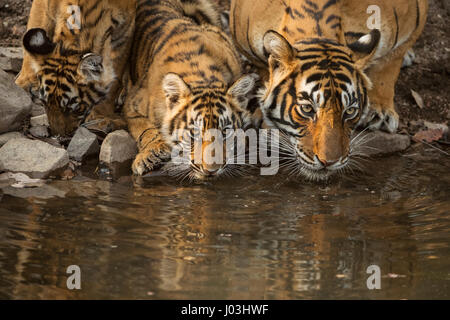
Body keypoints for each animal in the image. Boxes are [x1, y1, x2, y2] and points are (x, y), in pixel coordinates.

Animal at [15, 0, 136, 136]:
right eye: (45, 103)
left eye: (75, 109)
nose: (58, 135)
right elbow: (36, 23)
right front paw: (21, 84)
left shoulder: (125, 30)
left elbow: (115, 77)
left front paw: (102, 116)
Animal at [125, 0, 258, 180]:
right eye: (194, 132)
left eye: (225, 132)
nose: (211, 171)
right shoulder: (132, 105)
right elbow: (146, 129)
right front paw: (151, 155)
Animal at [232, 0, 428, 180]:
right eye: (307, 109)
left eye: (350, 111)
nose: (329, 162)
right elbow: (264, 69)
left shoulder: (413, 21)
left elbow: (389, 65)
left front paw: (380, 113)